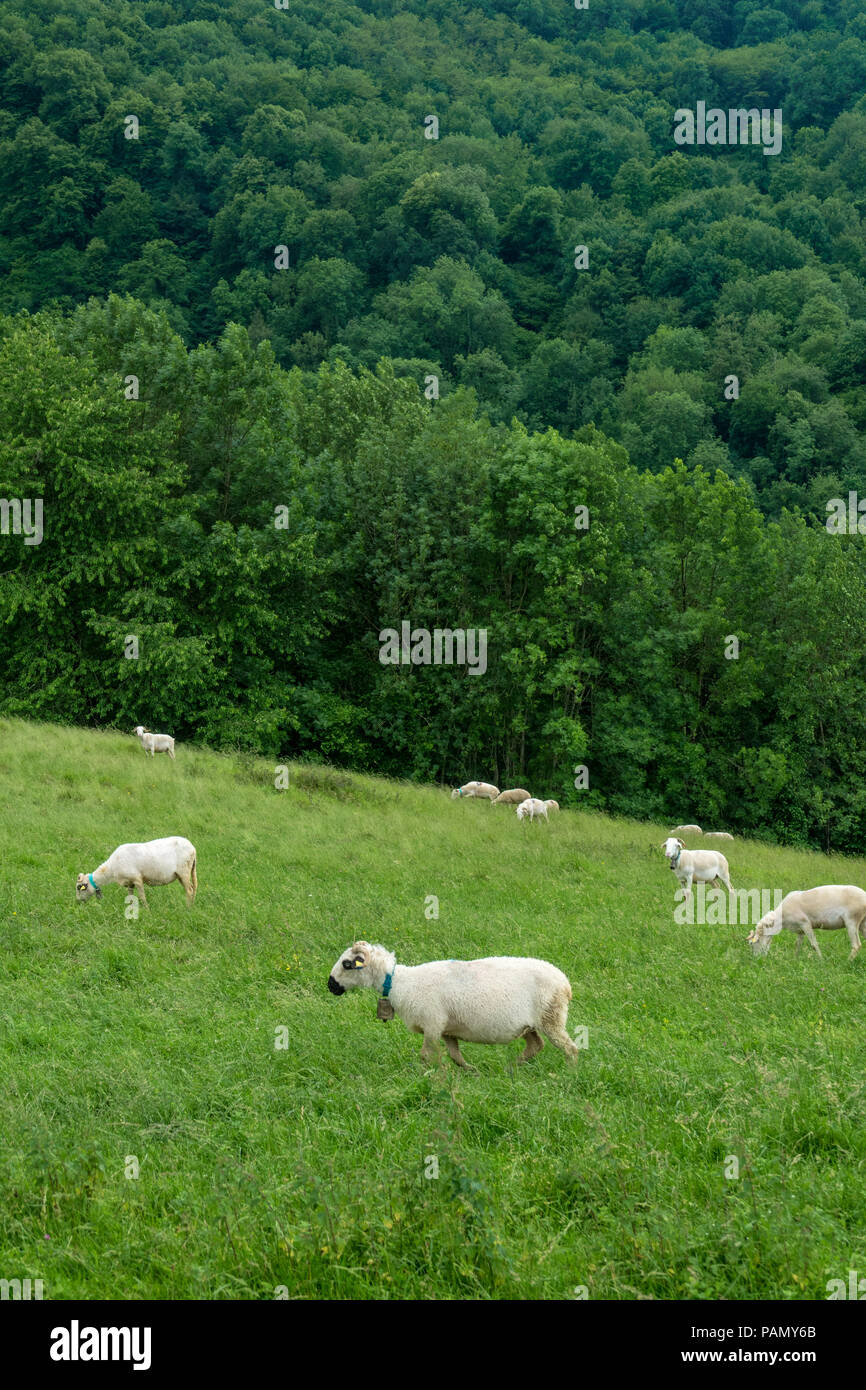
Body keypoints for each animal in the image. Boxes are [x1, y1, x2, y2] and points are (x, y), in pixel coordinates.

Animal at [328, 939, 578, 1067]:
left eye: (347, 964)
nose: (330, 985)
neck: (400, 982)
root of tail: (565, 983)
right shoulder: (447, 1030)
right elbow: (455, 1056)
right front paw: (470, 1071)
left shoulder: (433, 1024)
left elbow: (426, 1055)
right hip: (529, 1025)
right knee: (536, 1045)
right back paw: (513, 1066)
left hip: (551, 1016)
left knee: (570, 1048)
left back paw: (569, 1072)